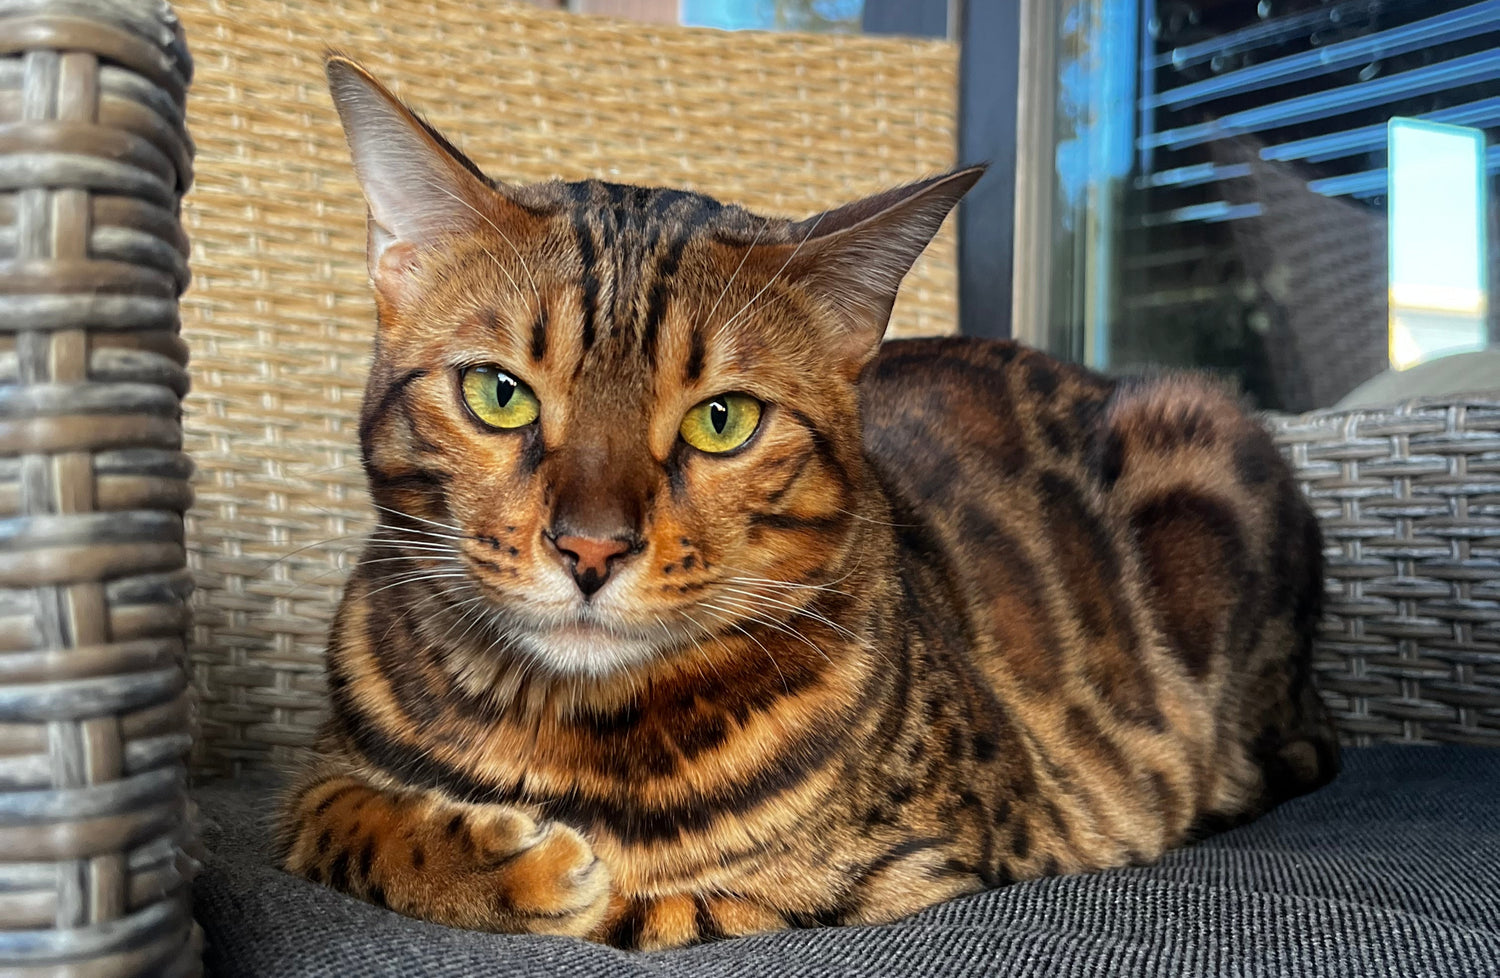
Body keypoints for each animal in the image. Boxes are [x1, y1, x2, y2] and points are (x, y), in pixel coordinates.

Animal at [276, 55, 1344, 948]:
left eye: (722, 419)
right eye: (499, 394)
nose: (591, 549)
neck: (571, 738)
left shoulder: (925, 866)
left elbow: (655, 908)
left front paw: (554, 876)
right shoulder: (316, 774)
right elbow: (336, 816)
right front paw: (500, 862)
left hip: (1200, 432)